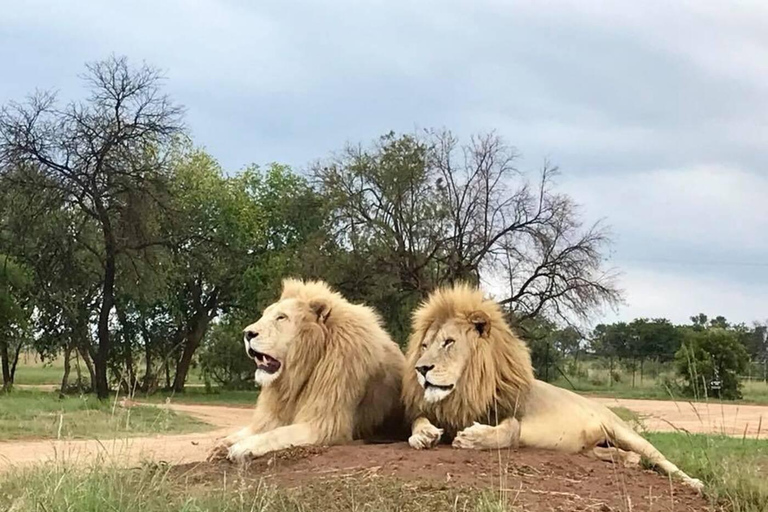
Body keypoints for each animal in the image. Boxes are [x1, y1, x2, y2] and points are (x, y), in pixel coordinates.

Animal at [214, 278, 404, 462]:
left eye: (281, 317)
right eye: (264, 315)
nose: (247, 333)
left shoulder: (325, 424)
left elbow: (277, 433)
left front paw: (242, 447)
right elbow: (253, 429)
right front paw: (224, 442)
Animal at [400, 286, 704, 490]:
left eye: (448, 342)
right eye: (424, 346)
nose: (421, 369)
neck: (465, 391)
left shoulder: (521, 417)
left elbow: (509, 431)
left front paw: (471, 438)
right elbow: (418, 420)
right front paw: (423, 435)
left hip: (624, 431)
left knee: (662, 459)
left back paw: (694, 483)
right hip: (591, 448)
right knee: (623, 456)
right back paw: (627, 461)